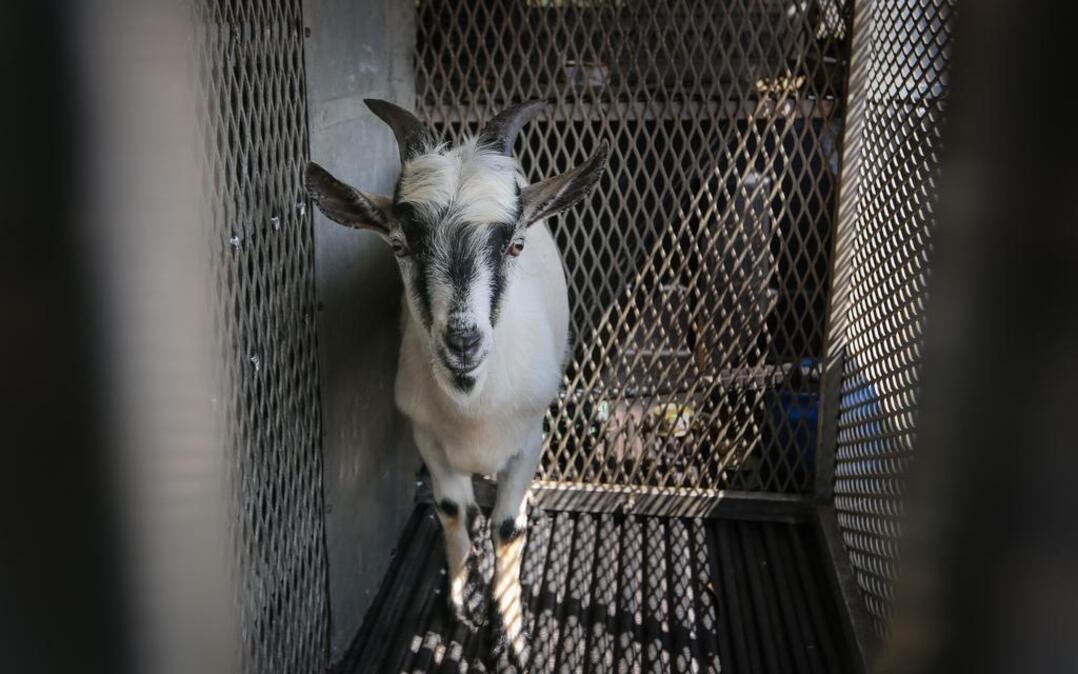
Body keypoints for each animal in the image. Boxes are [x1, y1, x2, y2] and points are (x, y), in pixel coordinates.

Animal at [305, 99, 608, 666]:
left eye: (515, 245)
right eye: (399, 245)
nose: (463, 341)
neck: (473, 412)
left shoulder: (529, 439)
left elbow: (508, 529)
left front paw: (510, 636)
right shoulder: (428, 439)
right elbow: (452, 512)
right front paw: (459, 602)